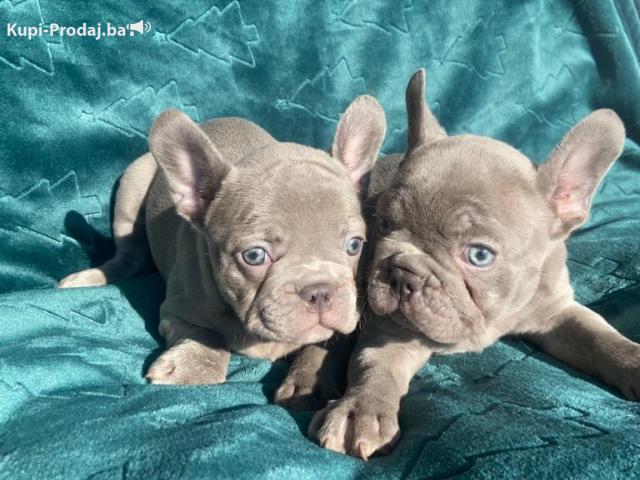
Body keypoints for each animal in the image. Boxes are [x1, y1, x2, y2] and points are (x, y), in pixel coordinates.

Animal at [59, 96, 385, 403]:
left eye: (354, 245)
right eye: (254, 255)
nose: (320, 291)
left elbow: (325, 344)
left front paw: (309, 384)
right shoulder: (178, 307)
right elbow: (206, 334)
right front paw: (191, 367)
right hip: (133, 183)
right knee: (129, 256)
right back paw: (87, 279)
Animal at [310, 69, 639, 459]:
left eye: (479, 255)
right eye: (385, 224)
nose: (403, 272)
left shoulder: (558, 311)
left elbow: (600, 336)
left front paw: (634, 361)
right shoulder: (392, 329)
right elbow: (375, 367)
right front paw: (360, 410)